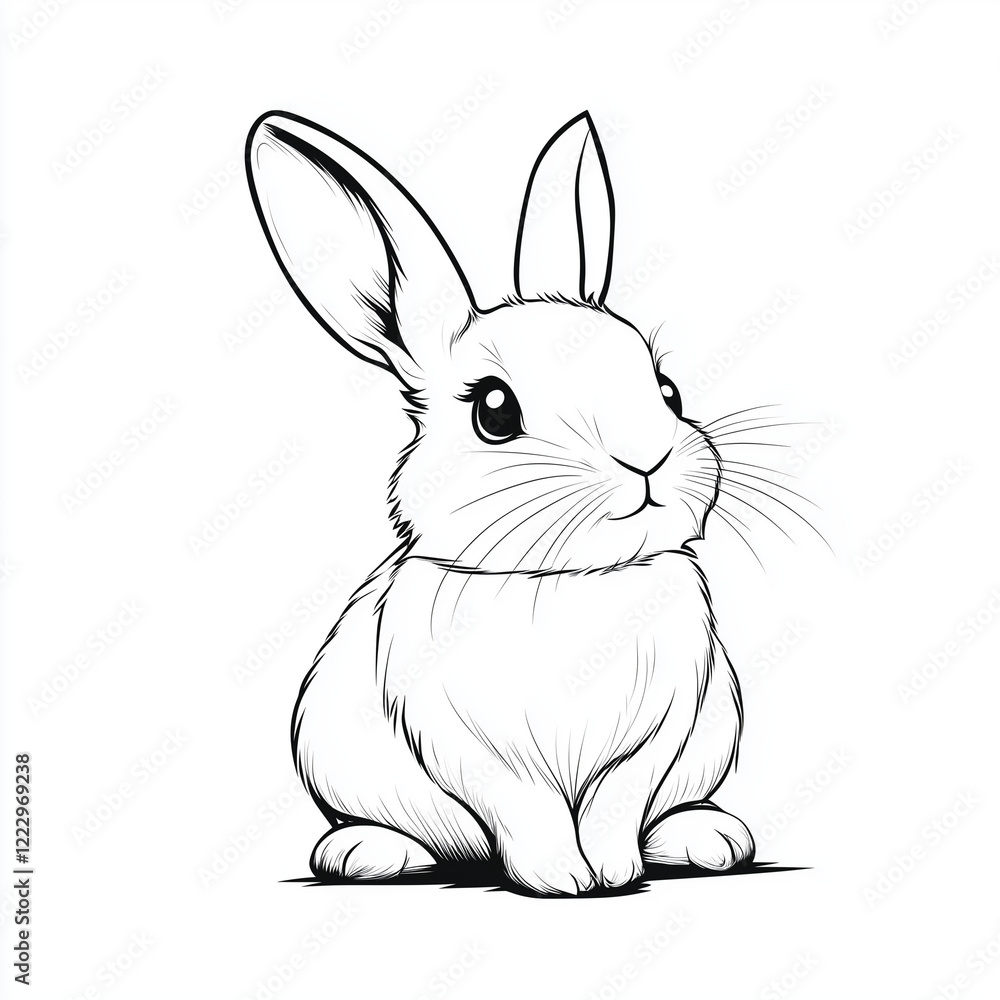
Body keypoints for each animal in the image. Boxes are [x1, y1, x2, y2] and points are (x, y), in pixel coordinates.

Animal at [246, 109, 755, 895]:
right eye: (494, 409)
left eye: (668, 390)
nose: (647, 459)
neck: (569, 579)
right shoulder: (465, 745)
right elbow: (527, 807)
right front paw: (561, 880)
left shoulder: (661, 729)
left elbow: (616, 799)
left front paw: (611, 872)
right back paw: (365, 854)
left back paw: (709, 839)